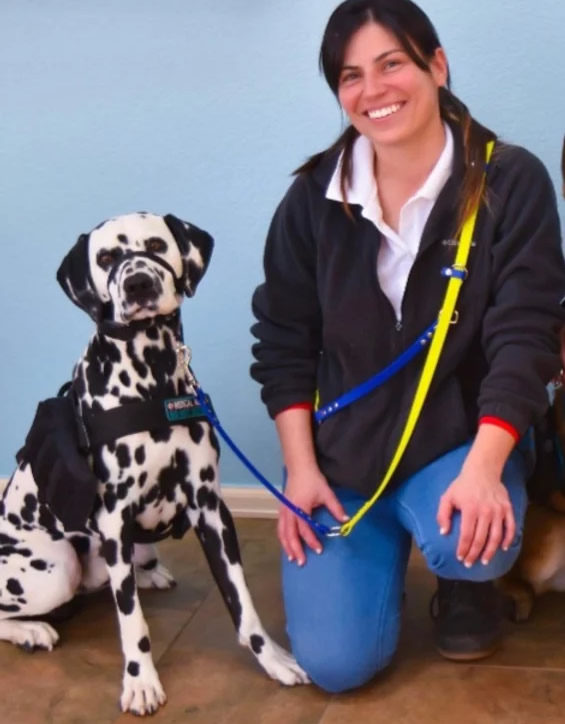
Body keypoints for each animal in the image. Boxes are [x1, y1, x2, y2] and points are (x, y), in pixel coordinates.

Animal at [0, 212, 308, 716]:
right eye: (107, 257)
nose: (139, 282)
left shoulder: (210, 510)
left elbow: (242, 601)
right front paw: (140, 680)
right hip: (56, 569)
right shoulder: (114, 520)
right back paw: (31, 629)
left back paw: (148, 576)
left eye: (157, 246)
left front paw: (273, 660)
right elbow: (132, 623)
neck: (154, 379)